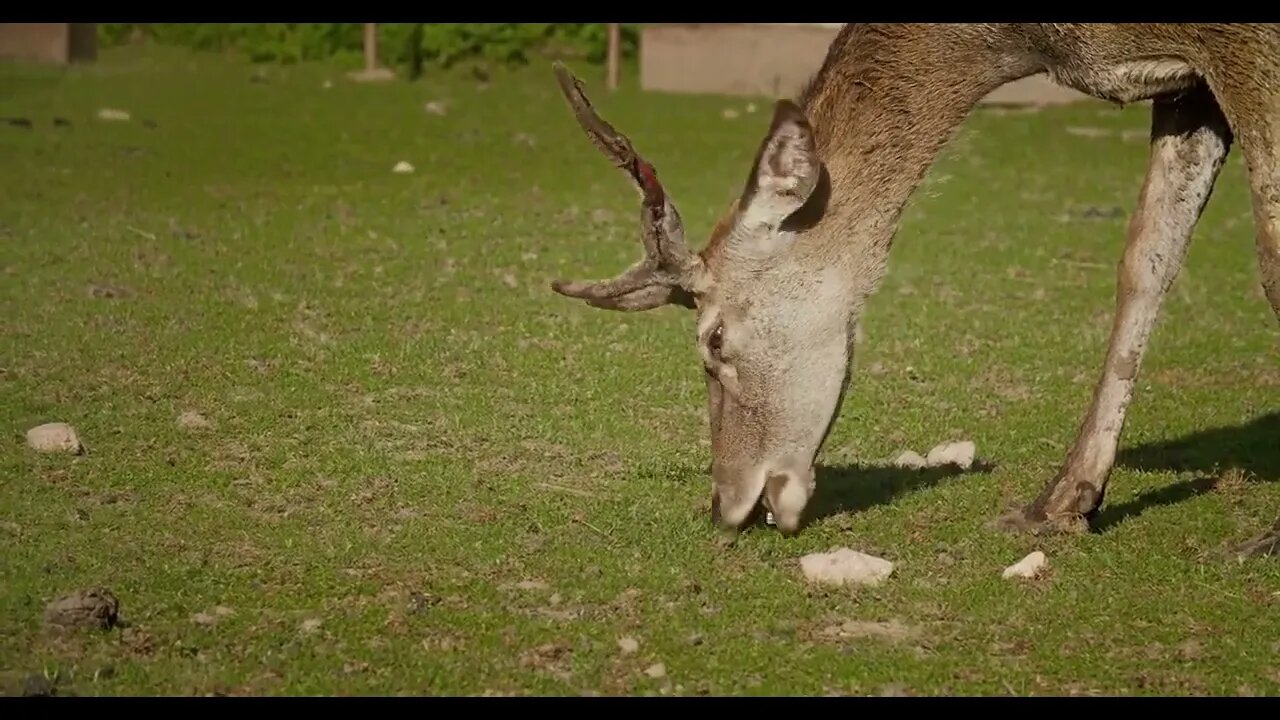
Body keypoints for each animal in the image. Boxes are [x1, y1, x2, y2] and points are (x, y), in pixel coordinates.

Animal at [550, 19, 1280, 550]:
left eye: (715, 340)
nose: (724, 503)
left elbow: (1270, 259)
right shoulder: (1185, 85)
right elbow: (1146, 255)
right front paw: (1058, 504)